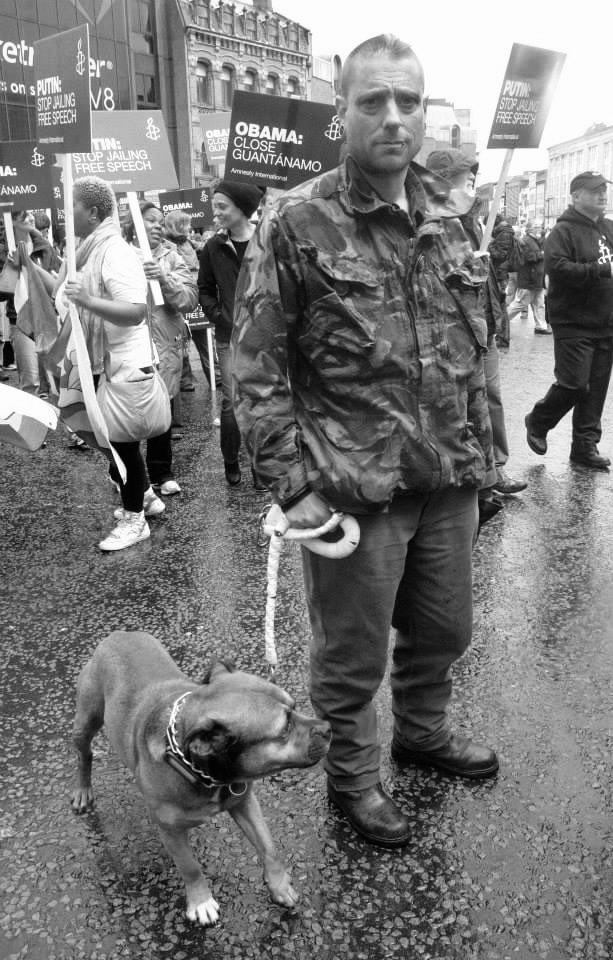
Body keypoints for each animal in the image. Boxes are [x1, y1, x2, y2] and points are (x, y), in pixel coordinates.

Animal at [70, 632, 330, 924]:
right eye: (285, 728)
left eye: (295, 707)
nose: (328, 727)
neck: (207, 772)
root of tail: (118, 634)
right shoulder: (169, 830)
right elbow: (190, 867)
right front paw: (200, 901)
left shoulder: (244, 802)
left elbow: (269, 846)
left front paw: (279, 886)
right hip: (86, 721)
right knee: (84, 754)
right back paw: (82, 791)